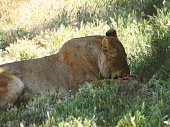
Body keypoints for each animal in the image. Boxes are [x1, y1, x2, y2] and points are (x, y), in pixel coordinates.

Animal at [0, 29, 130, 104]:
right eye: (124, 58)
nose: (128, 72)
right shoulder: (79, 86)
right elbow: (111, 82)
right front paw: (131, 82)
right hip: (16, 83)